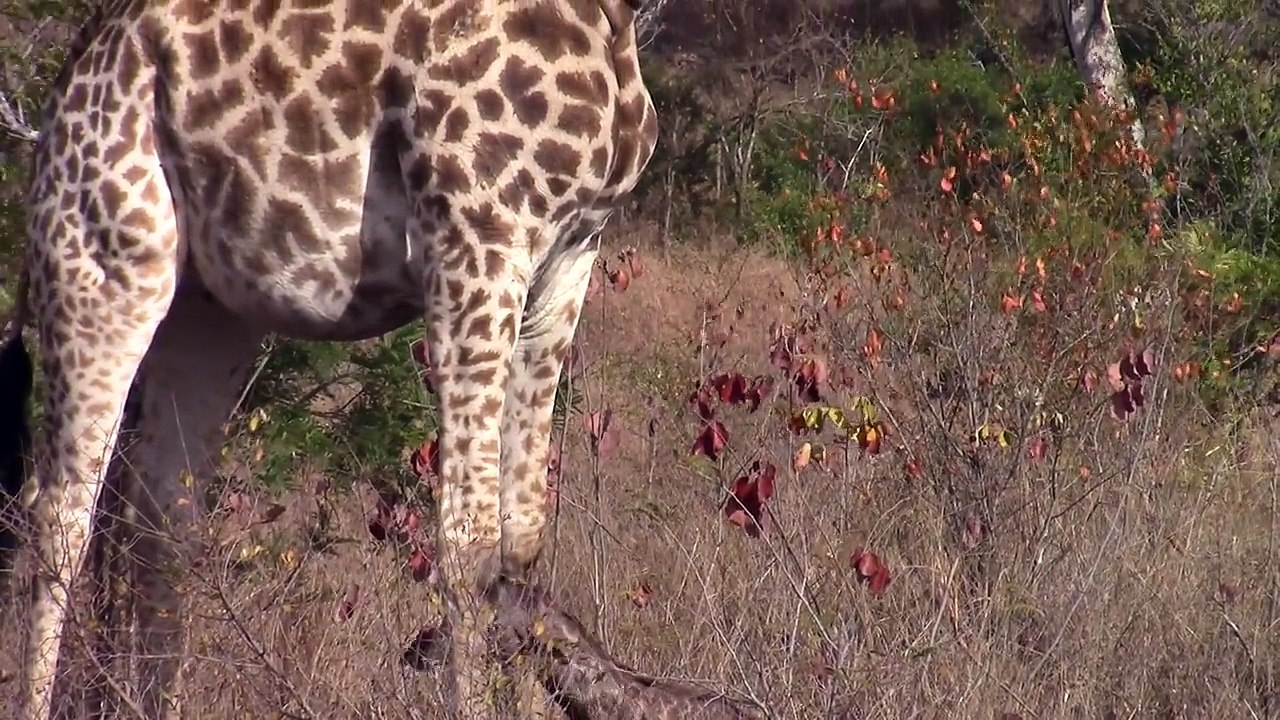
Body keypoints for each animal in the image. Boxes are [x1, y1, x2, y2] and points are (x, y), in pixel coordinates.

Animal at [0, 0, 658, 717]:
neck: (611, 20)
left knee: (160, 517)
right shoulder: (477, 238)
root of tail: (76, 69)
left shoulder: (570, 257)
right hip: (103, 257)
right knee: (60, 514)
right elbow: (468, 539)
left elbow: (521, 546)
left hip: (208, 304)